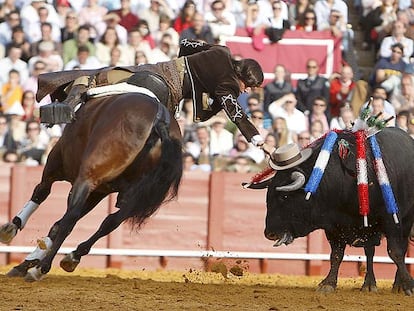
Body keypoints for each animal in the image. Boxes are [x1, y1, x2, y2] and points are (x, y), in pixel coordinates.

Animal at [0, 91, 183, 282]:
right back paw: (72, 257)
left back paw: (41, 268)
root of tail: (160, 121)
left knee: (70, 218)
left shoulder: (56, 162)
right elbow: (58, 223)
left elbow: (42, 192)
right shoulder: (99, 191)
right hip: (133, 197)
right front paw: (26, 262)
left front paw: (12, 228)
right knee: (111, 221)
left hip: (86, 177)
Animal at [249, 128, 414, 296]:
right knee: (370, 251)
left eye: (284, 196)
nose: (269, 233)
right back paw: (369, 284)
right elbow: (336, 255)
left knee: (400, 248)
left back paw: (397, 285)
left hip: (404, 221)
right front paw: (328, 283)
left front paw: (408, 286)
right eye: (268, 197)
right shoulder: (334, 227)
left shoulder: (391, 220)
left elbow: (395, 252)